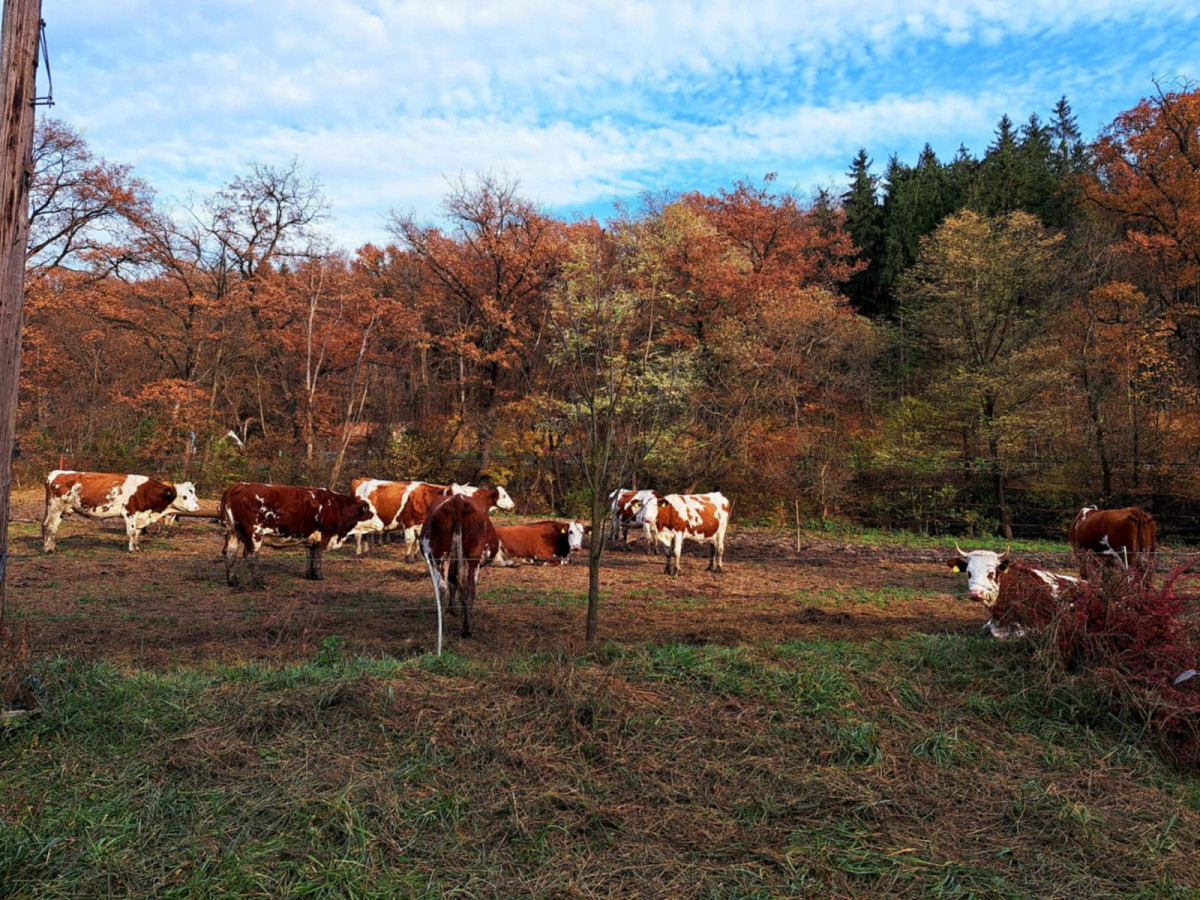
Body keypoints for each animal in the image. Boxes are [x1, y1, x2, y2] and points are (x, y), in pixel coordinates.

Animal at [42, 470, 201, 553]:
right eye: (184, 496)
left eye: (194, 494)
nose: (197, 508)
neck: (145, 490)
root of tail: (56, 473)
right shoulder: (130, 513)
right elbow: (131, 532)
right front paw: (131, 550)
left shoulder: (140, 516)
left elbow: (137, 533)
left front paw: (136, 547)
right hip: (55, 507)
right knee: (49, 526)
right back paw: (48, 549)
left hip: (61, 511)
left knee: (53, 528)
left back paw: (51, 547)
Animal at [219, 482, 373, 587]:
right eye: (371, 512)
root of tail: (235, 487)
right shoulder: (324, 535)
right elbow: (317, 557)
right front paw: (319, 577)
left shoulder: (312, 539)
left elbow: (311, 556)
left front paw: (311, 576)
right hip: (254, 533)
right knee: (250, 555)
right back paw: (260, 582)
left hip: (232, 533)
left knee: (230, 553)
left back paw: (233, 581)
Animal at [419, 487, 504, 653]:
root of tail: (458, 500)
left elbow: (453, 583)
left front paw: (451, 609)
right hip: (472, 559)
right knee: (469, 589)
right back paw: (467, 629)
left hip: (441, 555)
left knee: (442, 588)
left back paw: (444, 626)